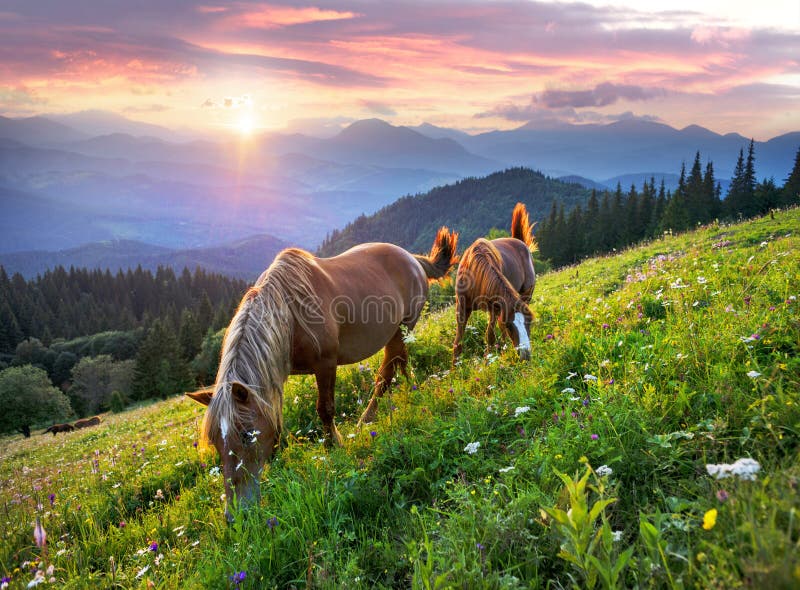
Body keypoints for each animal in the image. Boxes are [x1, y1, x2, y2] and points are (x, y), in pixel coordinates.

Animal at [186, 229, 456, 520]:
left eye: (247, 434)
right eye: (214, 440)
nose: (235, 516)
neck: (290, 312)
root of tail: (413, 259)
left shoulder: (325, 364)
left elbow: (325, 409)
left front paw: (333, 446)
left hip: (403, 327)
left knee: (387, 371)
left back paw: (368, 418)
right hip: (399, 332)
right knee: (401, 363)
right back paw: (411, 390)